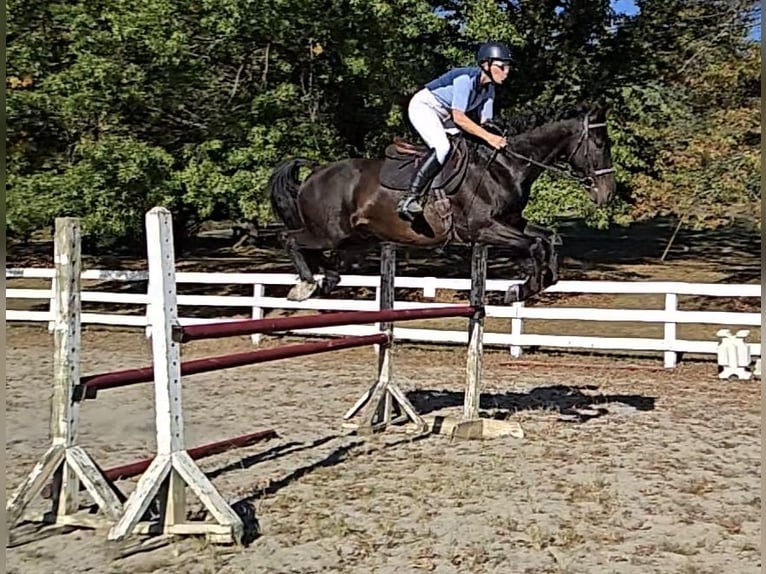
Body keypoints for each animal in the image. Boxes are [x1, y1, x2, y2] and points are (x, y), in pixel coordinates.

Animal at [267, 103, 616, 303]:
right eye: (600, 143)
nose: (607, 194)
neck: (505, 165)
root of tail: (315, 173)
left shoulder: (512, 222)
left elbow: (549, 239)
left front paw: (538, 281)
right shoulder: (482, 229)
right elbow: (533, 246)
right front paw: (521, 288)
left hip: (354, 240)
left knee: (323, 257)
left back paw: (324, 280)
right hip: (329, 233)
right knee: (289, 239)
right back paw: (306, 284)